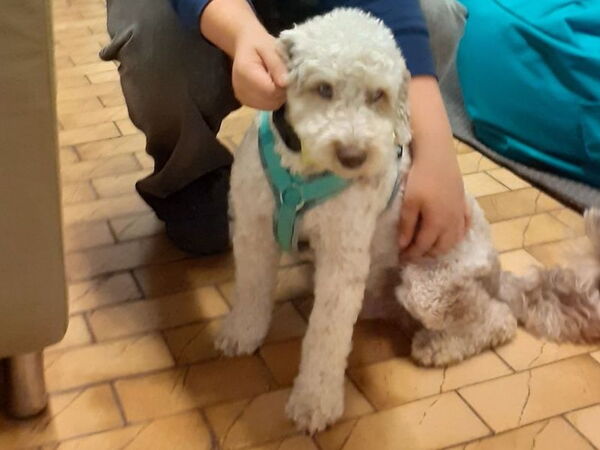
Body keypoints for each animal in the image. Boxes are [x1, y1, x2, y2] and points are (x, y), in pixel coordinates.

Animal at [216, 8, 600, 434]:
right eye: (323, 88)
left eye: (378, 96)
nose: (354, 156)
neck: (302, 174)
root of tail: (500, 277)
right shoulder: (252, 227)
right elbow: (251, 290)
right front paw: (242, 332)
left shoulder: (342, 260)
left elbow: (326, 338)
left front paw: (315, 402)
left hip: (429, 287)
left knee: (497, 319)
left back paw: (439, 346)